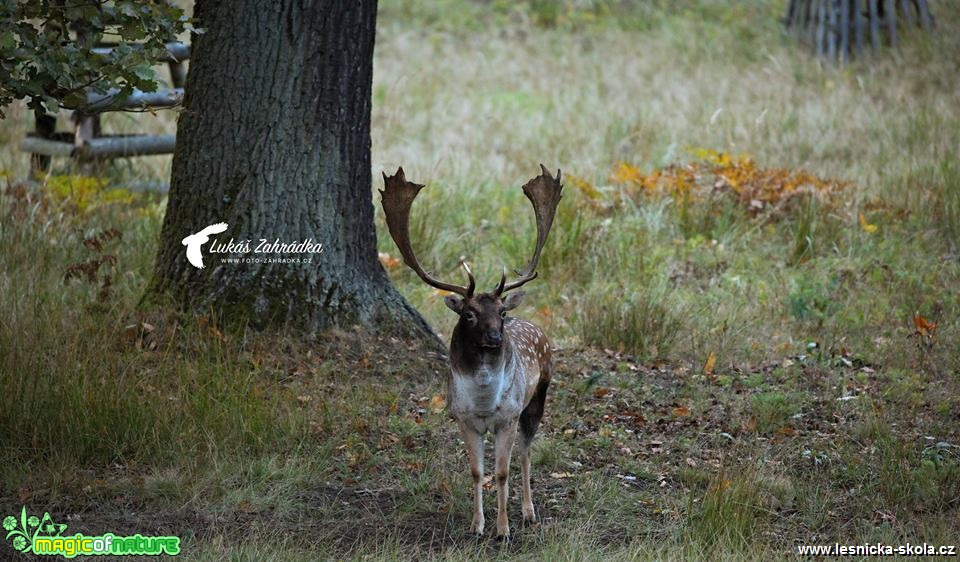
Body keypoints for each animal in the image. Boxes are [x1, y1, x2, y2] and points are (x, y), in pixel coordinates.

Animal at [380, 163, 564, 540]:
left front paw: (503, 529)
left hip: (537, 397)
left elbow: (502, 472)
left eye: (502, 312)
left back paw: (529, 512)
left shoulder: (507, 417)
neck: (483, 402)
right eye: (469, 314)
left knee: (526, 452)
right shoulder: (463, 419)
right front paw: (477, 526)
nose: (494, 337)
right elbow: (478, 472)